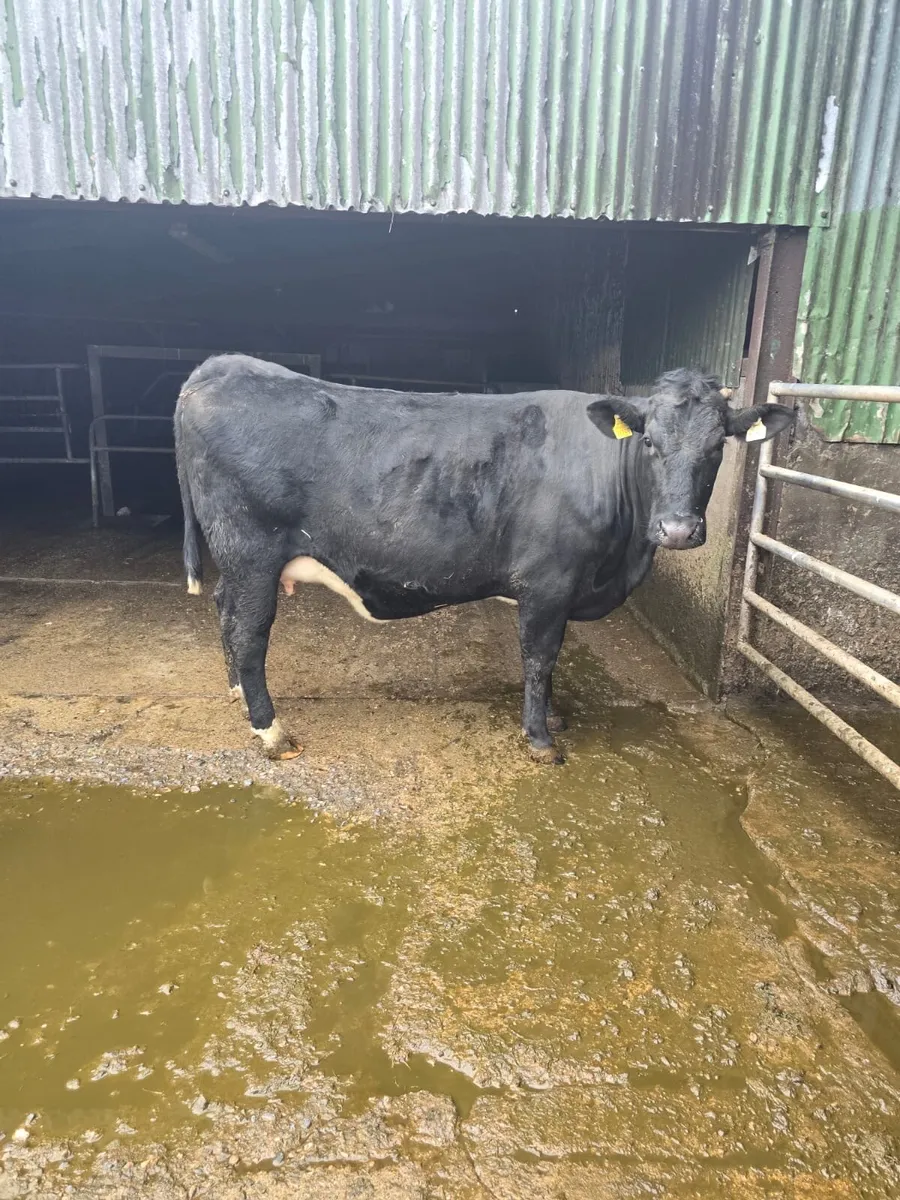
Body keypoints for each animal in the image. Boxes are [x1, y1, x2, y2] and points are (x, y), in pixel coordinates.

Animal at [174, 356, 793, 764]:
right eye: (648, 443)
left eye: (718, 446)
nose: (678, 530)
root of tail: (220, 366)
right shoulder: (548, 582)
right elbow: (541, 657)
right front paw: (541, 738)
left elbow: (552, 661)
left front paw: (553, 716)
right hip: (252, 554)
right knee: (249, 632)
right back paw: (271, 731)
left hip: (239, 563)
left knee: (225, 611)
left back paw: (237, 694)